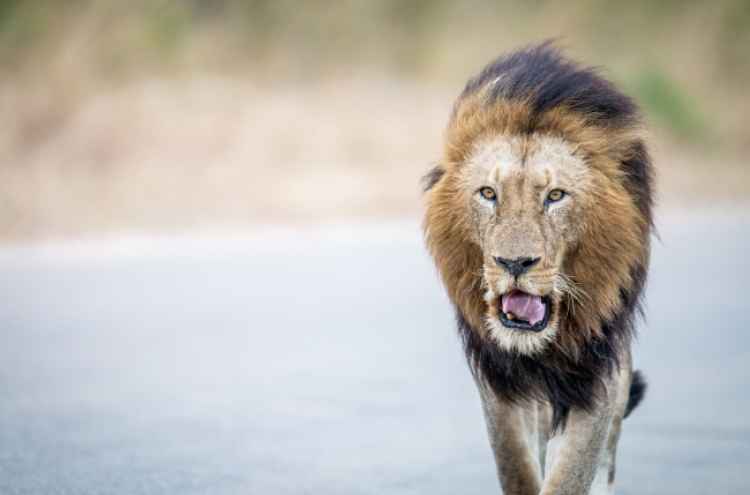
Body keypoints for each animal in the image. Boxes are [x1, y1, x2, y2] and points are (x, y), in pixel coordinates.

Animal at [426, 43, 656, 495]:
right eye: (488, 193)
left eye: (555, 196)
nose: (514, 262)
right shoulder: (498, 377)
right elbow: (515, 465)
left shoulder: (597, 369)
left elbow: (571, 472)